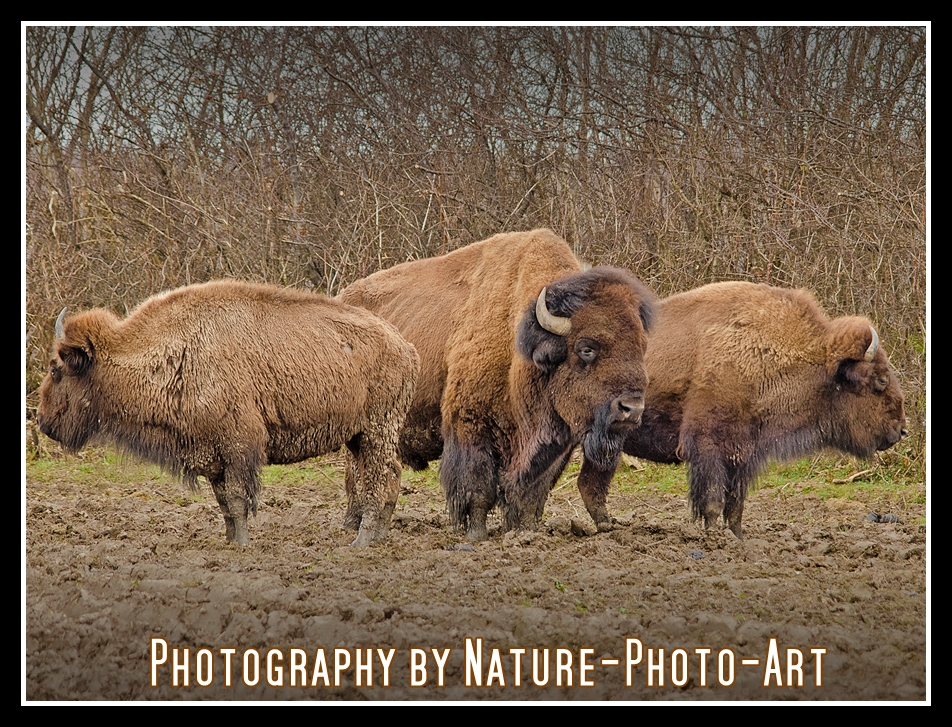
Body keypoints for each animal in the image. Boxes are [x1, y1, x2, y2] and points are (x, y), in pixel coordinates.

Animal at [37, 282, 416, 548]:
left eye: (57, 370)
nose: (42, 421)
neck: (174, 349)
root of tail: (404, 345)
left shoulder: (236, 447)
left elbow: (236, 499)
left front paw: (243, 544)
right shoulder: (213, 456)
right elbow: (224, 503)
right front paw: (231, 541)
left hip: (377, 430)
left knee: (380, 479)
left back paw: (361, 541)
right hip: (359, 436)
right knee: (389, 476)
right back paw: (376, 537)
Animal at [338, 228, 660, 540]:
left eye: (642, 347)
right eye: (586, 348)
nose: (631, 408)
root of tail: (344, 296)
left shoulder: (551, 449)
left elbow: (531, 494)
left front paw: (525, 531)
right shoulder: (471, 427)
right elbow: (478, 488)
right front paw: (476, 535)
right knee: (357, 473)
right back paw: (352, 523)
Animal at [572, 282, 908, 536]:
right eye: (880, 380)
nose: (901, 430)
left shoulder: (744, 453)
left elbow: (736, 503)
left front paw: (735, 535)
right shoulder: (709, 445)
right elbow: (712, 499)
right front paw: (713, 536)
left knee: (589, 484)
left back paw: (607, 526)